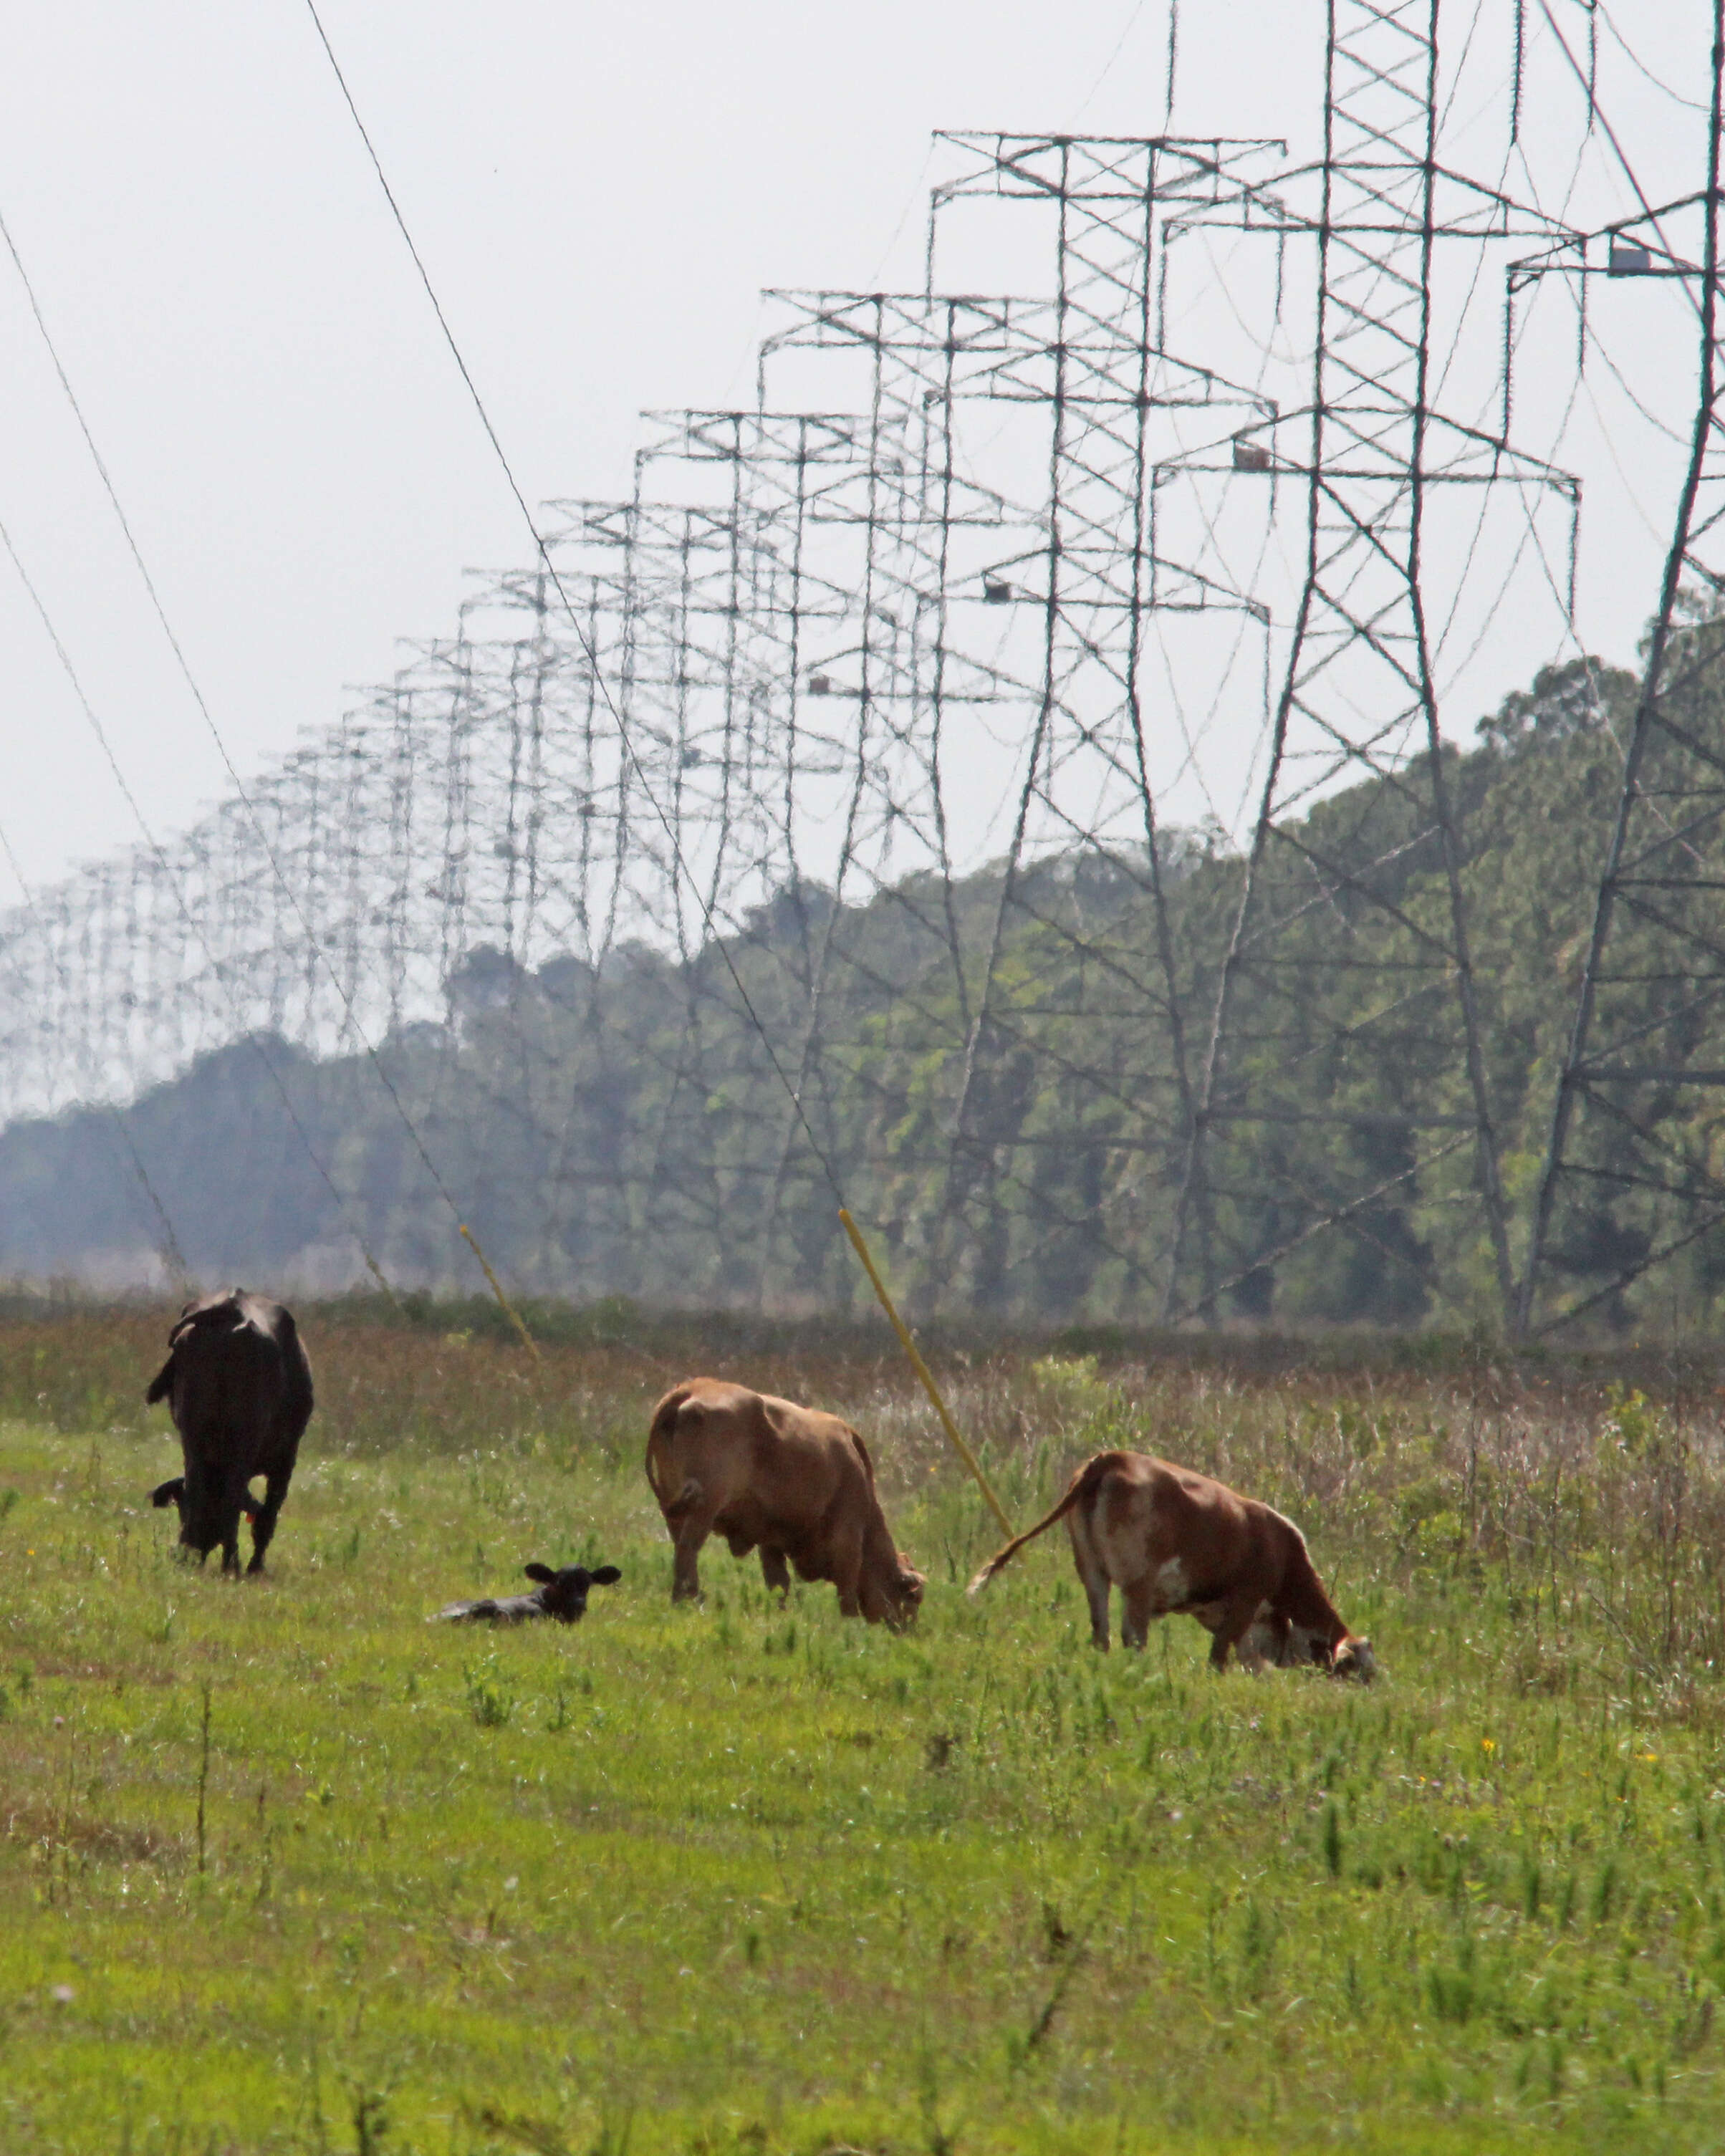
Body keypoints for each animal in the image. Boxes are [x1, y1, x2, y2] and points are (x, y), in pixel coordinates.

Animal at [144, 1284, 312, 1578]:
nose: (187, 1551)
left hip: (192, 1438)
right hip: (244, 1441)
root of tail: (230, 1309)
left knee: (198, 1488)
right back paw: (232, 1563)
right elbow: (267, 1516)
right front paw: (255, 1567)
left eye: (179, 1509)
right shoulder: (285, 1458)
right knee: (234, 1498)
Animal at [647, 1371, 923, 1621]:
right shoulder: (848, 1535)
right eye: (912, 1598)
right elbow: (846, 1589)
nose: (905, 1631)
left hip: (677, 1511)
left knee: (680, 1550)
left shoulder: (770, 1540)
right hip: (704, 1508)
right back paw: (690, 1601)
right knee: (689, 1550)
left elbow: (779, 1583)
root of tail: (693, 1388)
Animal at [961, 1448, 1371, 1681]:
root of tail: (1113, 1457)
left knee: (1101, 1633)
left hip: (1092, 1571)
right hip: (1137, 1584)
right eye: (1361, 1671)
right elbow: (1219, 1656)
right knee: (1133, 1637)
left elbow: (1248, 1659)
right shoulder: (1245, 1600)